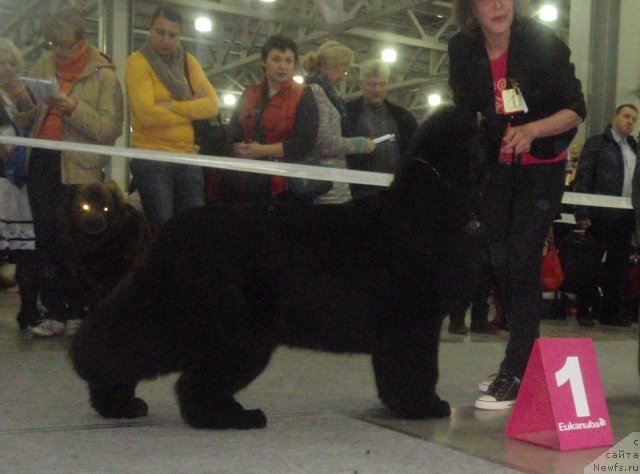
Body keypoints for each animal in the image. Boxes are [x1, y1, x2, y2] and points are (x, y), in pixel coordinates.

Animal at [69, 106, 484, 430]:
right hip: (231, 334)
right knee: (171, 372)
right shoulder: (412, 325)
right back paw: (235, 417)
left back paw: (121, 403)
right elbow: (417, 371)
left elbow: (397, 376)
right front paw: (424, 407)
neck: (430, 204)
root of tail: (172, 231)